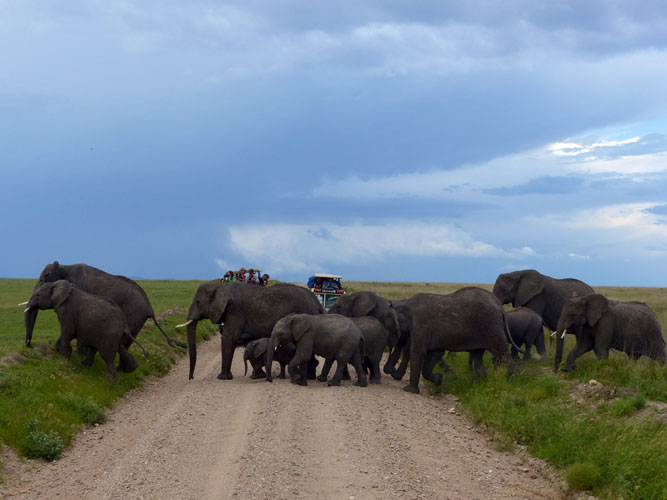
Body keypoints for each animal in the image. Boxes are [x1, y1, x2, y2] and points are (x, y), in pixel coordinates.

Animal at [23, 262, 175, 368]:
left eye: (42, 280)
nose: (29, 346)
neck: (64, 266)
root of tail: (150, 307)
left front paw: (76, 354)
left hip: (134, 315)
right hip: (138, 320)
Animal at [177, 282, 324, 378]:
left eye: (198, 302)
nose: (191, 378)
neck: (221, 286)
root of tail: (318, 303)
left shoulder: (234, 311)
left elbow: (228, 338)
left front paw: (222, 378)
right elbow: (249, 343)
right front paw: (259, 376)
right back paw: (310, 376)